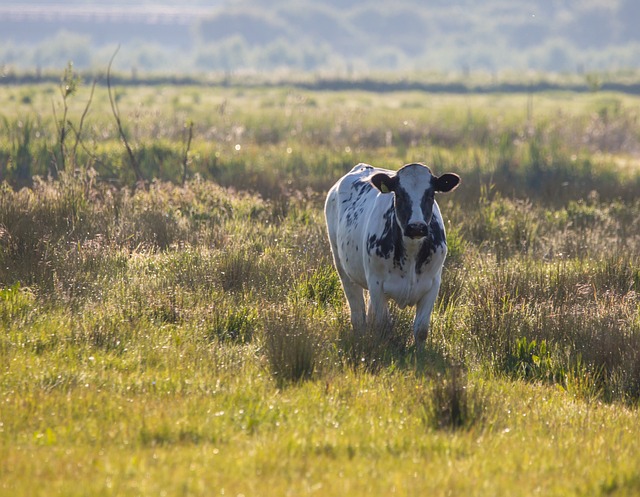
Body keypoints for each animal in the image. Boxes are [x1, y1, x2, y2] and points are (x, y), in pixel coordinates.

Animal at [324, 163, 460, 344]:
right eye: (399, 194)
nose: (416, 227)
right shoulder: (376, 284)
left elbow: (421, 330)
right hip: (343, 268)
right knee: (358, 316)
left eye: (431, 194)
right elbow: (383, 326)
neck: (411, 251)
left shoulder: (433, 284)